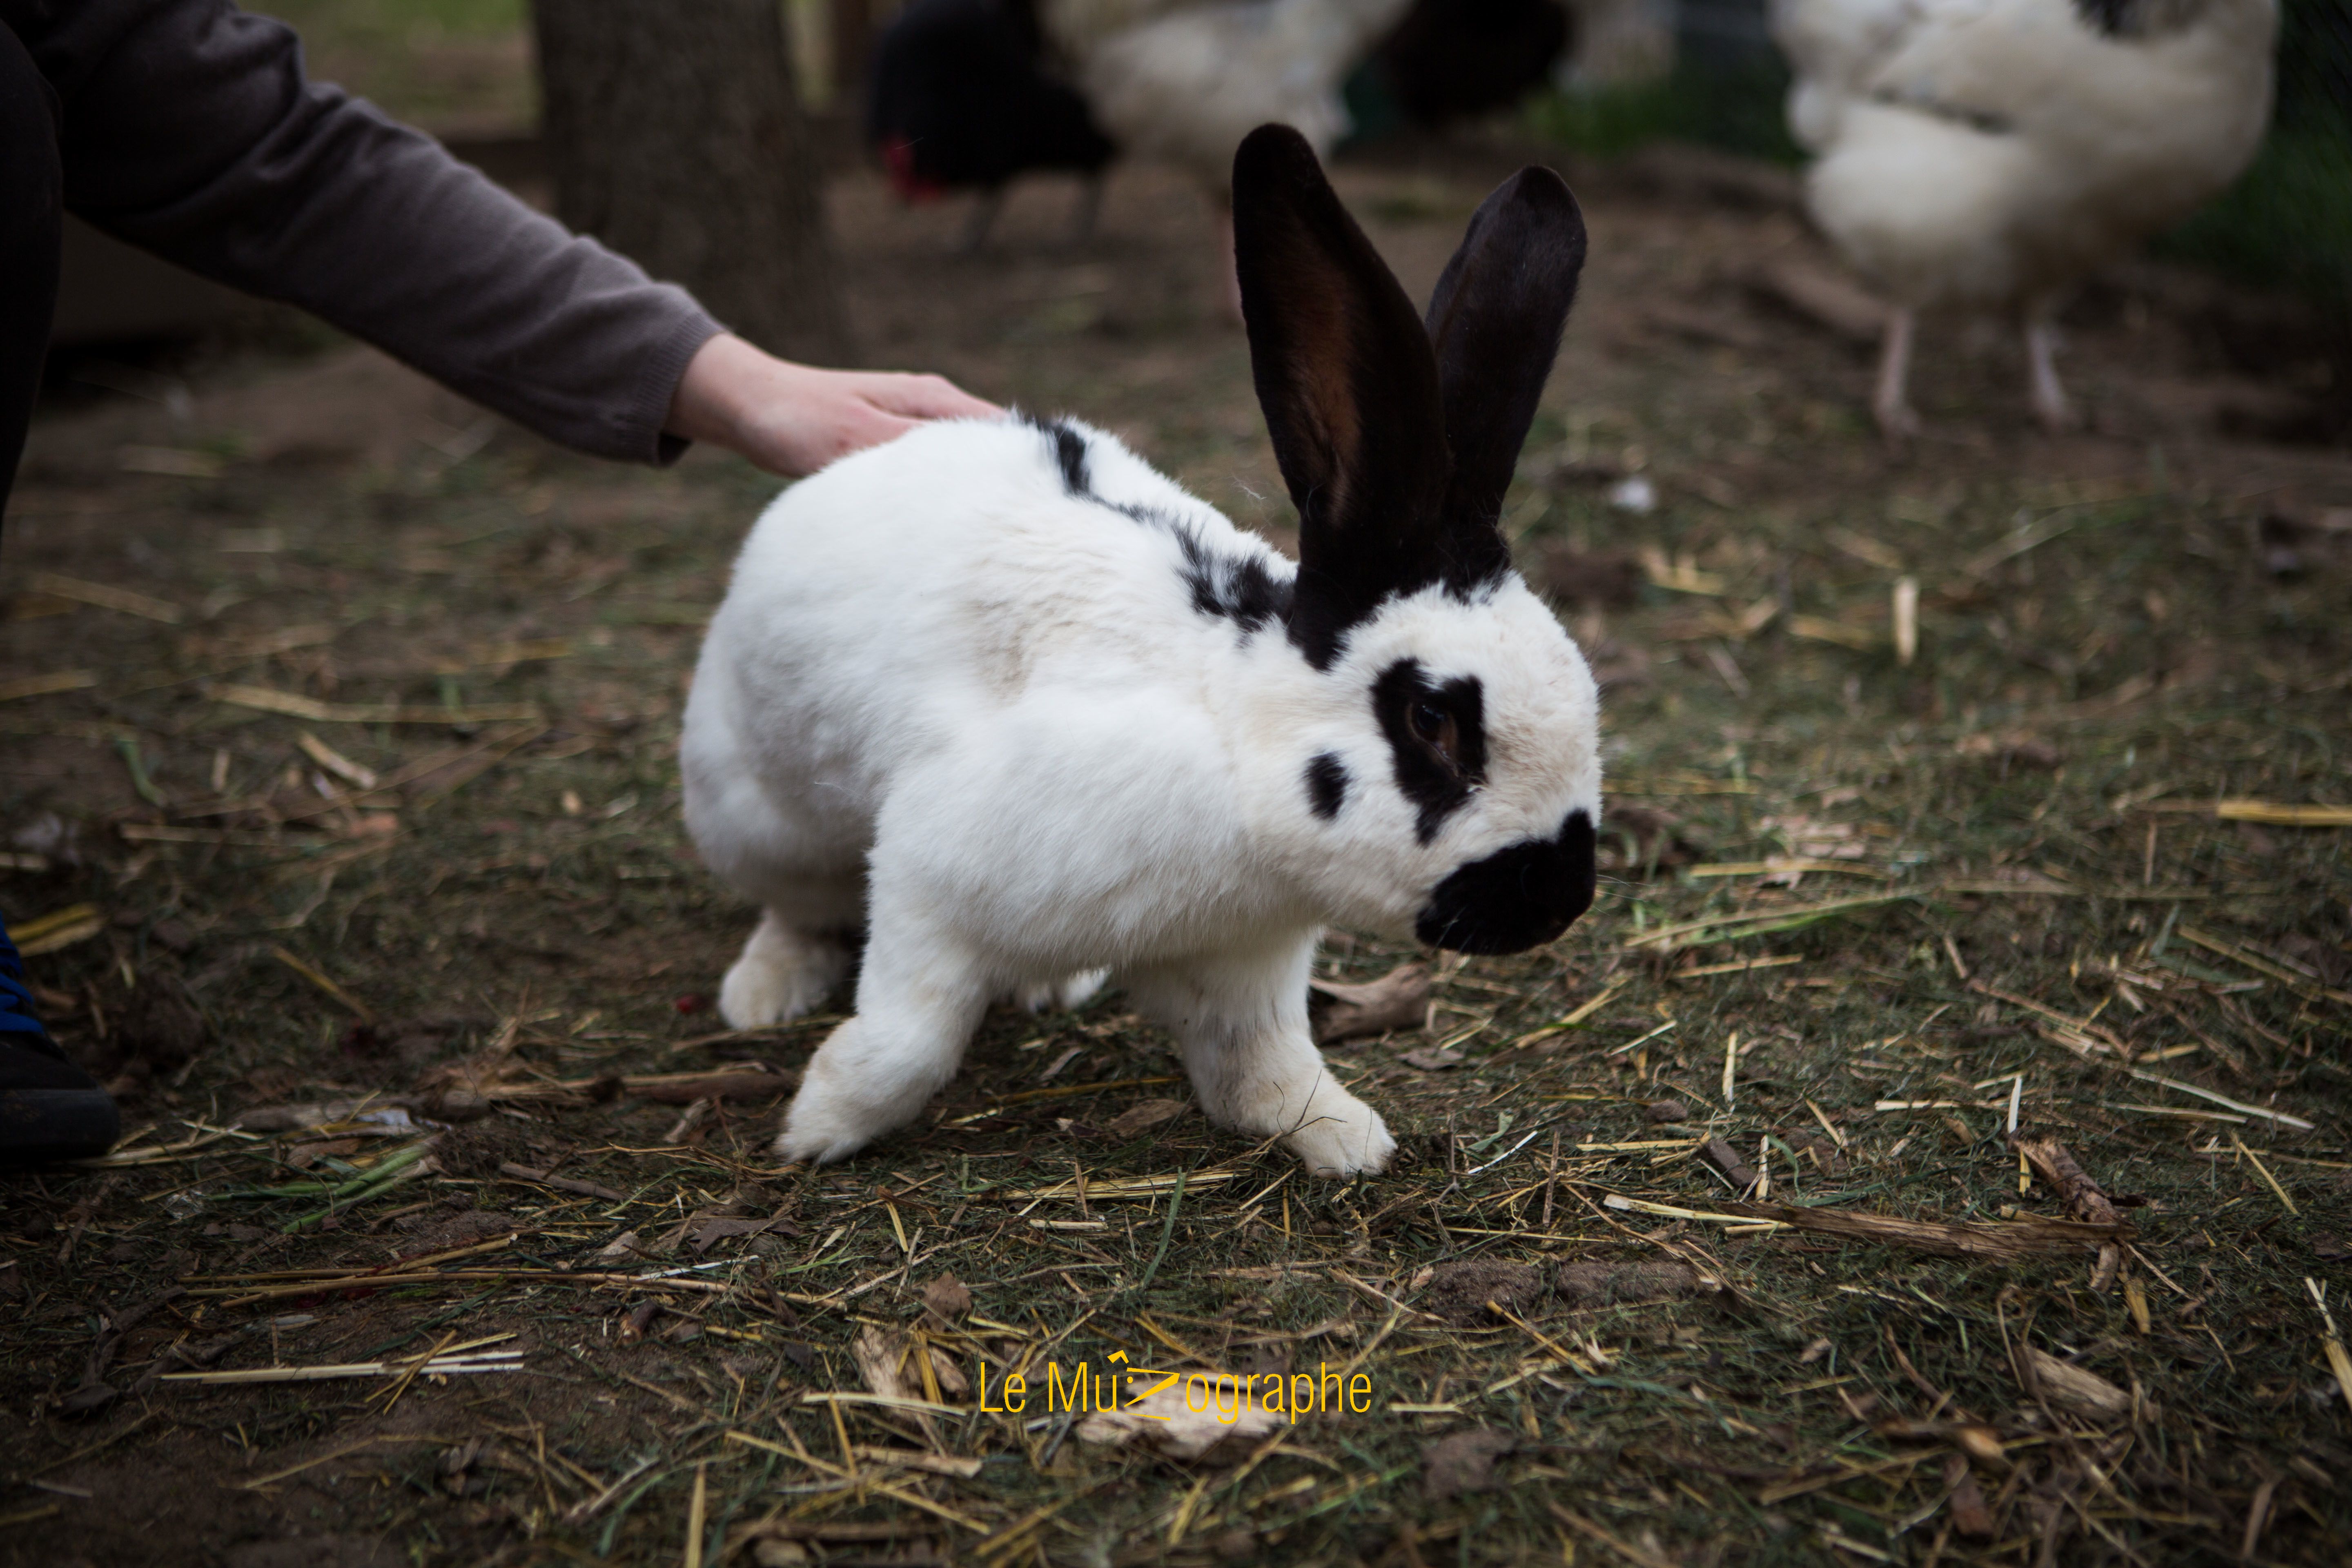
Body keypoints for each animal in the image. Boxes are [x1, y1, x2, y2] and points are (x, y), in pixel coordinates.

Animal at [680, 123, 1601, 1177]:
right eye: (1431, 719)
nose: (1560, 898)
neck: (1231, 741)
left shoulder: (1241, 963)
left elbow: (1259, 1064)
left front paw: (1343, 1137)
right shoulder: (927, 877)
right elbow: (909, 1037)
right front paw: (820, 1123)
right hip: (760, 815)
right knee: (799, 907)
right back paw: (762, 994)